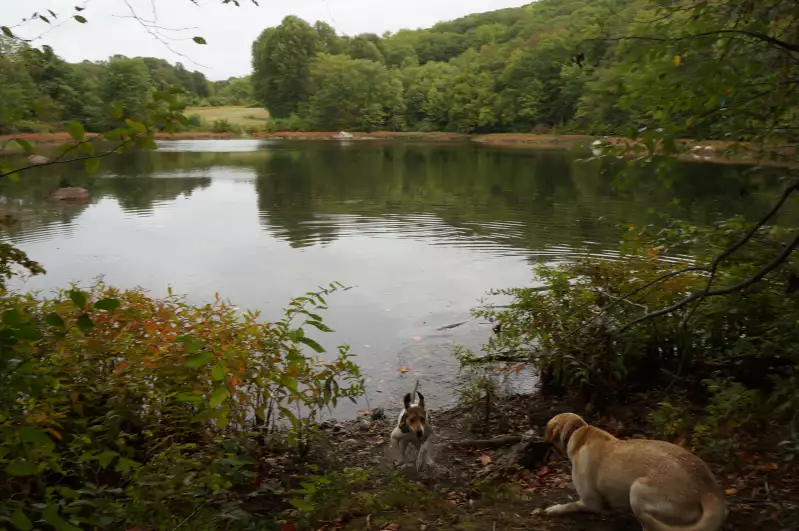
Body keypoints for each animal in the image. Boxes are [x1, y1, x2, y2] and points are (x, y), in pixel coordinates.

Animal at [548, 416, 728, 531]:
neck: (578, 432)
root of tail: (708, 490)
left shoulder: (589, 502)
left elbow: (570, 505)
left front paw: (554, 508)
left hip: (637, 490)